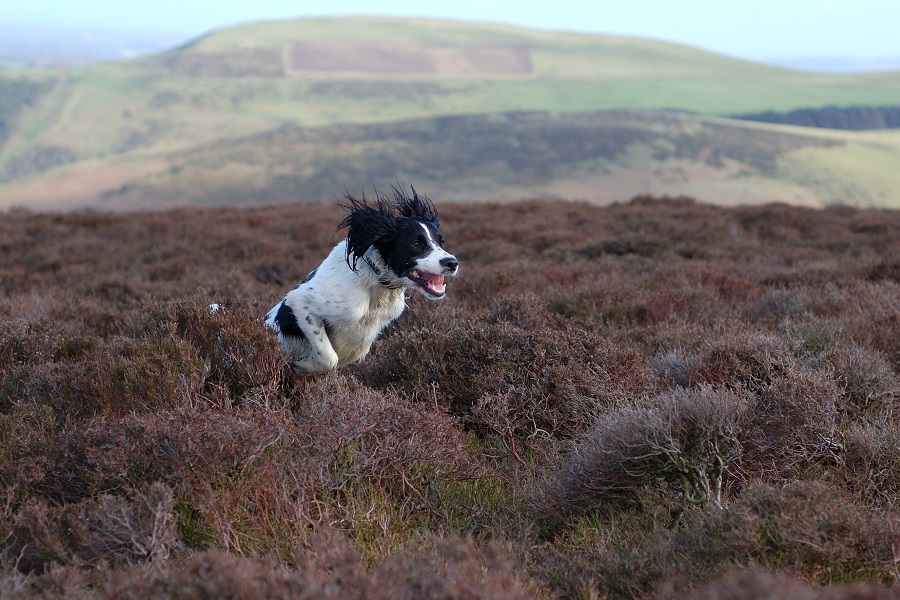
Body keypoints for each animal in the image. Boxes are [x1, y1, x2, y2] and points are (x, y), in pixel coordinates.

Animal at [260, 185, 458, 372]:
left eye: (441, 242)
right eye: (416, 244)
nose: (452, 263)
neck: (376, 283)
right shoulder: (300, 301)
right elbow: (329, 358)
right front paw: (302, 364)